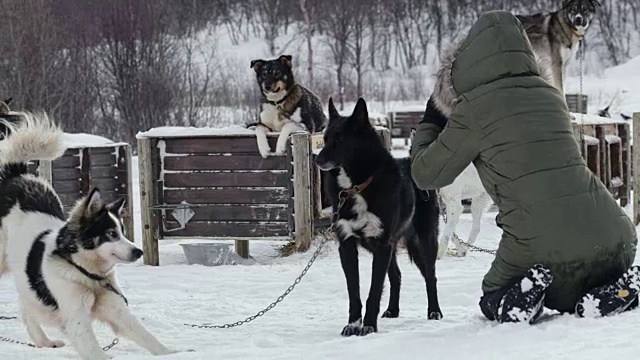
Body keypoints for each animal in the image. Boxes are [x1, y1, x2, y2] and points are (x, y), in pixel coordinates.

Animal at [314, 97, 442, 336]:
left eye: (341, 139)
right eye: (325, 139)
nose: (318, 160)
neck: (357, 186)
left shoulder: (382, 245)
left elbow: (373, 291)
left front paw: (369, 325)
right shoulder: (348, 246)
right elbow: (354, 291)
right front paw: (353, 324)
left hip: (423, 242)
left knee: (431, 276)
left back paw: (434, 312)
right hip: (392, 246)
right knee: (397, 276)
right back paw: (392, 310)